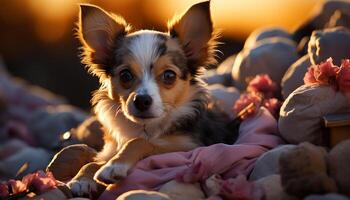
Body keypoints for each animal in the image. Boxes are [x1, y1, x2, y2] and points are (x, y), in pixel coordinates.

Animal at [67, 1, 238, 198]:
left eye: (169, 75)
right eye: (125, 75)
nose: (141, 100)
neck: (145, 128)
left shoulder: (187, 149)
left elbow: (140, 142)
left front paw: (115, 166)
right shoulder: (110, 149)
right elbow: (93, 162)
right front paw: (81, 178)